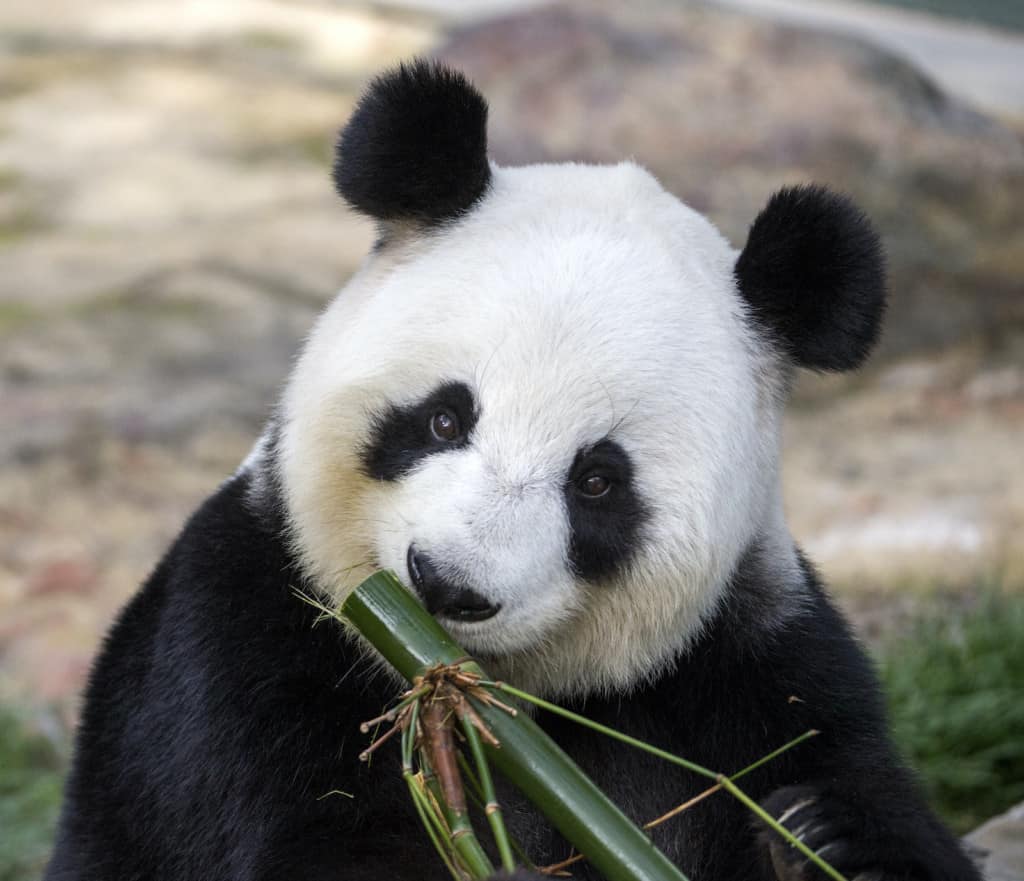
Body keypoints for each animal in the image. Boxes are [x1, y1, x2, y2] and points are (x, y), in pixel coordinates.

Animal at [44, 61, 978, 881]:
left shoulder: (742, 662)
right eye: (445, 418)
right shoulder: (247, 638)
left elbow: (832, 768)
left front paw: (825, 835)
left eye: (597, 480)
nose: (447, 584)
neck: (509, 705)